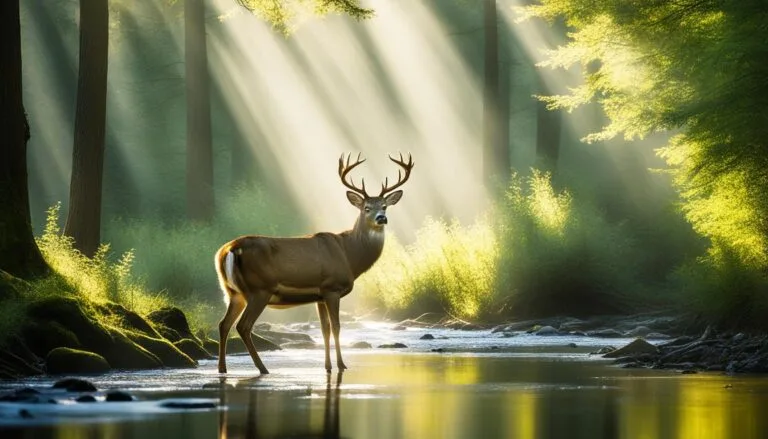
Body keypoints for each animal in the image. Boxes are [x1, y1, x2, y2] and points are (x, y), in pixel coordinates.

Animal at [215, 153, 414, 374]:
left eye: (385, 206)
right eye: (366, 208)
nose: (381, 218)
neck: (349, 255)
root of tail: (230, 249)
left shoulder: (319, 295)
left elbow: (324, 329)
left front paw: (327, 366)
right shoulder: (332, 288)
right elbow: (336, 327)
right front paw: (342, 365)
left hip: (233, 292)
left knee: (223, 324)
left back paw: (222, 369)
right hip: (259, 289)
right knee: (243, 326)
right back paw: (263, 368)